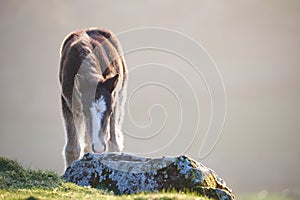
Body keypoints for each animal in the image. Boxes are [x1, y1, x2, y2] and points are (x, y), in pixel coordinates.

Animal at [59, 27, 127, 166]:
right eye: (85, 111)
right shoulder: (67, 104)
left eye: (109, 111)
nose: (100, 148)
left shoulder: (114, 102)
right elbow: (72, 148)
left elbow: (113, 143)